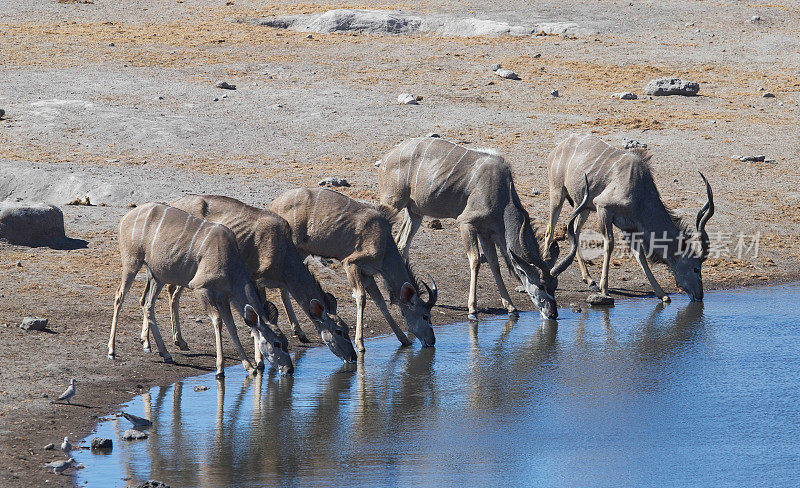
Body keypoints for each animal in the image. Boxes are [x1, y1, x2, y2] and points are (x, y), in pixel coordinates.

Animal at [107, 202, 294, 378]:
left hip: (157, 275)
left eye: (286, 341)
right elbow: (218, 321)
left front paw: (249, 366)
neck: (230, 262)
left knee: (147, 304)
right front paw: (220, 369)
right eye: (277, 343)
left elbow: (231, 325)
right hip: (132, 263)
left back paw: (165, 353)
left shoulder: (223, 297)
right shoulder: (200, 288)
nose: (290, 369)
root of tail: (124, 219)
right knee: (119, 296)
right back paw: (112, 350)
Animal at [141, 196, 360, 364]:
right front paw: (259, 360)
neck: (282, 251)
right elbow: (261, 311)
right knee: (167, 293)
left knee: (164, 294)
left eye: (347, 329)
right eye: (339, 331)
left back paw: (165, 341)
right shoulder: (257, 278)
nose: (353, 357)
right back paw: (160, 342)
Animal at [268, 186, 434, 350]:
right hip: (294, 248)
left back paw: (300, 333)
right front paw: (360, 344)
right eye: (425, 316)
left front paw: (404, 339)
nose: (431, 341)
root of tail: (273, 204)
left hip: (301, 251)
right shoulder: (350, 263)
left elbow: (380, 301)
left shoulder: (367, 274)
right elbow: (361, 297)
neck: (384, 244)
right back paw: (299, 332)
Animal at [376, 136, 588, 320]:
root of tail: (387, 157)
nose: (552, 314)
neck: (501, 193)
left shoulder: (487, 233)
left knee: (402, 243)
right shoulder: (466, 223)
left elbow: (495, 265)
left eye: (555, 285)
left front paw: (511, 307)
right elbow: (476, 261)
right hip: (393, 203)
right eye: (542, 286)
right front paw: (472, 309)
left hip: (415, 213)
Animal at [548, 133, 716, 302]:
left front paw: (662, 295)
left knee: (575, 232)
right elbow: (609, 244)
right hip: (558, 193)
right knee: (550, 229)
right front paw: (604, 289)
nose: (699, 295)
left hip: (583, 207)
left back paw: (589, 279)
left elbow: (639, 255)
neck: (640, 191)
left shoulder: (629, 227)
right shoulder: (603, 207)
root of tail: (558, 147)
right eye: (696, 269)